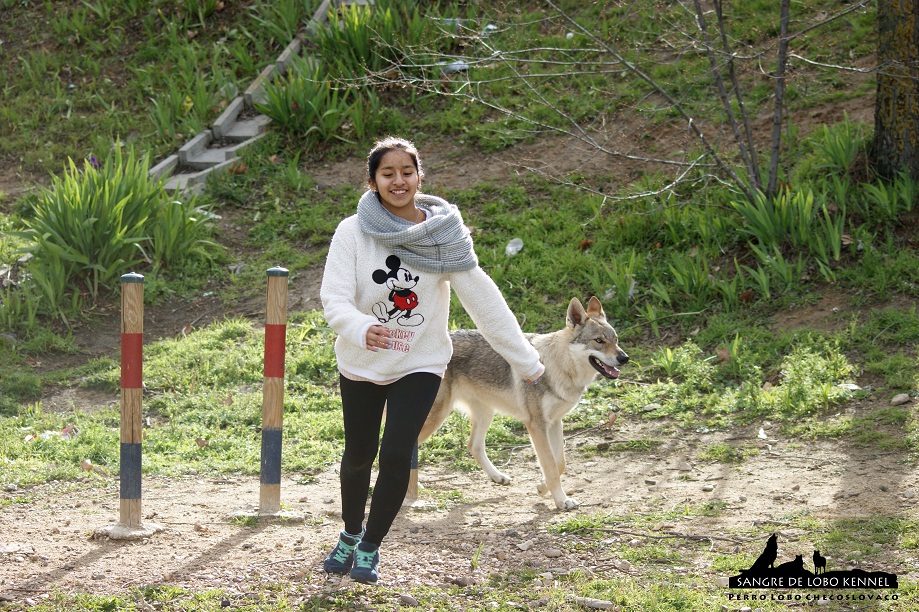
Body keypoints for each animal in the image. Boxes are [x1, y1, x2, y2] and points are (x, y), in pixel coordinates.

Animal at [418, 298, 628, 510]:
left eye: (616, 339)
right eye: (599, 341)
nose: (624, 358)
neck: (558, 366)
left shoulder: (554, 422)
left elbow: (559, 464)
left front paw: (542, 487)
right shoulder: (536, 425)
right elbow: (550, 466)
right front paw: (561, 500)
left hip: (486, 414)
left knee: (473, 446)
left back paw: (498, 476)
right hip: (436, 418)